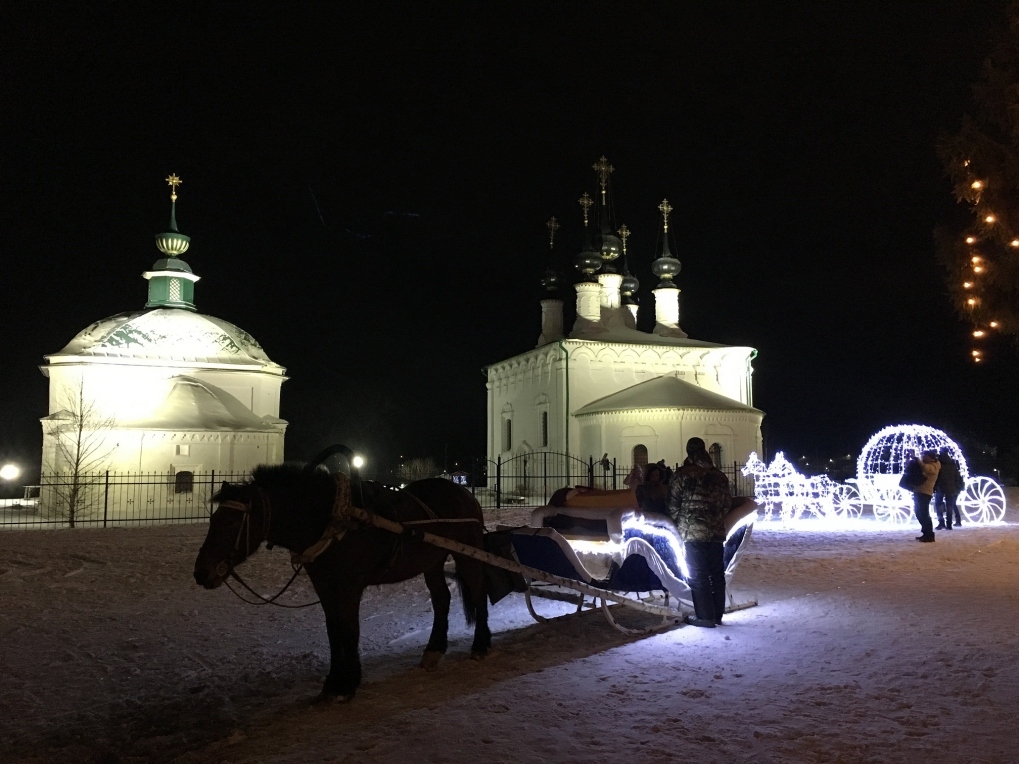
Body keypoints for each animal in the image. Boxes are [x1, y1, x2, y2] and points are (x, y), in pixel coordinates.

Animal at [193, 458, 493, 704]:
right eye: (214, 518)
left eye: (232, 523)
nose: (201, 572)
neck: (331, 517)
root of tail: (463, 492)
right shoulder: (326, 586)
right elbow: (334, 630)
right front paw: (334, 682)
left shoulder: (348, 587)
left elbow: (349, 630)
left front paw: (348, 683)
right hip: (432, 562)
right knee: (442, 599)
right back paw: (434, 650)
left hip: (467, 553)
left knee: (478, 591)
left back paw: (480, 645)